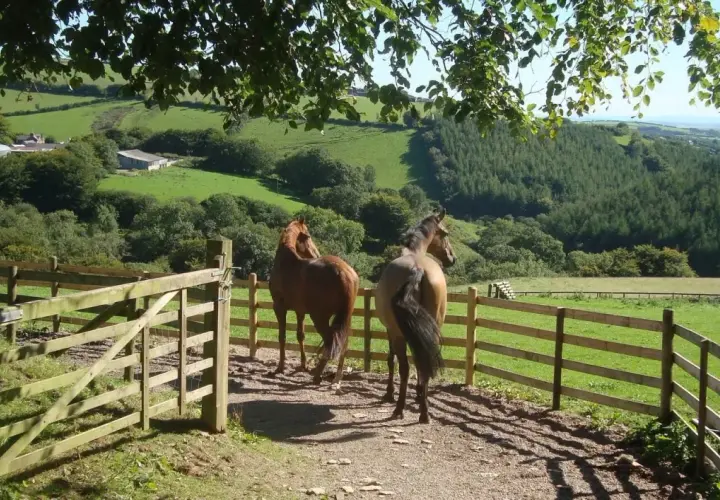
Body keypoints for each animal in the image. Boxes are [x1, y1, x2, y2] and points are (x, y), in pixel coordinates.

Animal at [268, 217, 360, 390]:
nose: (317, 254)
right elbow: (300, 336)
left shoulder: (279, 307)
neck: (286, 263)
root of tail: (345, 273)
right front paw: (303, 365)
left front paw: (280, 368)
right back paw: (337, 378)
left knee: (330, 341)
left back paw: (318, 375)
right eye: (309, 236)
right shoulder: (300, 311)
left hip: (320, 317)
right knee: (343, 344)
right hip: (345, 318)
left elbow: (282, 336)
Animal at [374, 208, 456, 423]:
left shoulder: (391, 330)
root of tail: (417, 269)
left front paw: (389, 393)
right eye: (445, 233)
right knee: (424, 361)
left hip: (399, 333)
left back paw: (399, 408)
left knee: (404, 367)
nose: (452, 258)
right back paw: (424, 412)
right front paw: (419, 393)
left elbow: (391, 359)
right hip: (432, 328)